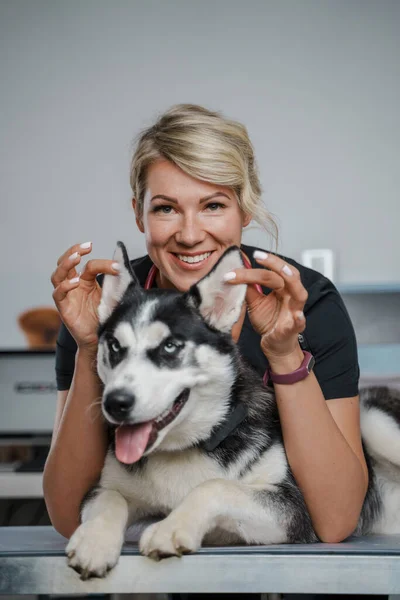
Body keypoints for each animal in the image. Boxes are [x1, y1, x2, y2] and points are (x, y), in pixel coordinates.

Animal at [66, 241, 400, 580]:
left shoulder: (294, 509)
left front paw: (171, 527)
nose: (115, 403)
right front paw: (94, 539)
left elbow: (216, 487)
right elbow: (110, 498)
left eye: (171, 346)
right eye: (114, 346)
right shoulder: (102, 489)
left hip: (374, 421)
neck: (187, 446)